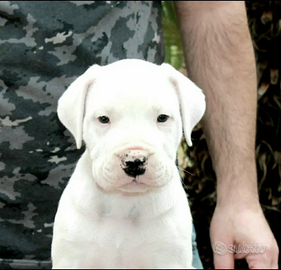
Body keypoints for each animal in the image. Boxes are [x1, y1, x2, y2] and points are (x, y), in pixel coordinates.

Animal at [51, 58, 205, 268]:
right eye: (103, 119)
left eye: (163, 117)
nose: (134, 161)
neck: (124, 202)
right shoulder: (71, 259)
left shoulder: (169, 260)